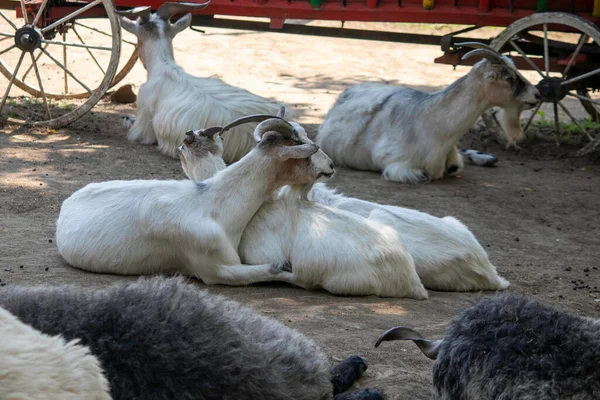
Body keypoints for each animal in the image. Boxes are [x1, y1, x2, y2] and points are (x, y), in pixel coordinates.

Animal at [55, 111, 338, 290]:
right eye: (303, 151)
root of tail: (67, 205)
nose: (331, 166)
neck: (212, 204)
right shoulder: (217, 270)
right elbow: (274, 267)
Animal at [316, 43, 540, 184]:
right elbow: (422, 176)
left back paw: (487, 157)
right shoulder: (397, 165)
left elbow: (456, 166)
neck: (431, 122)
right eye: (508, 78)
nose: (537, 94)